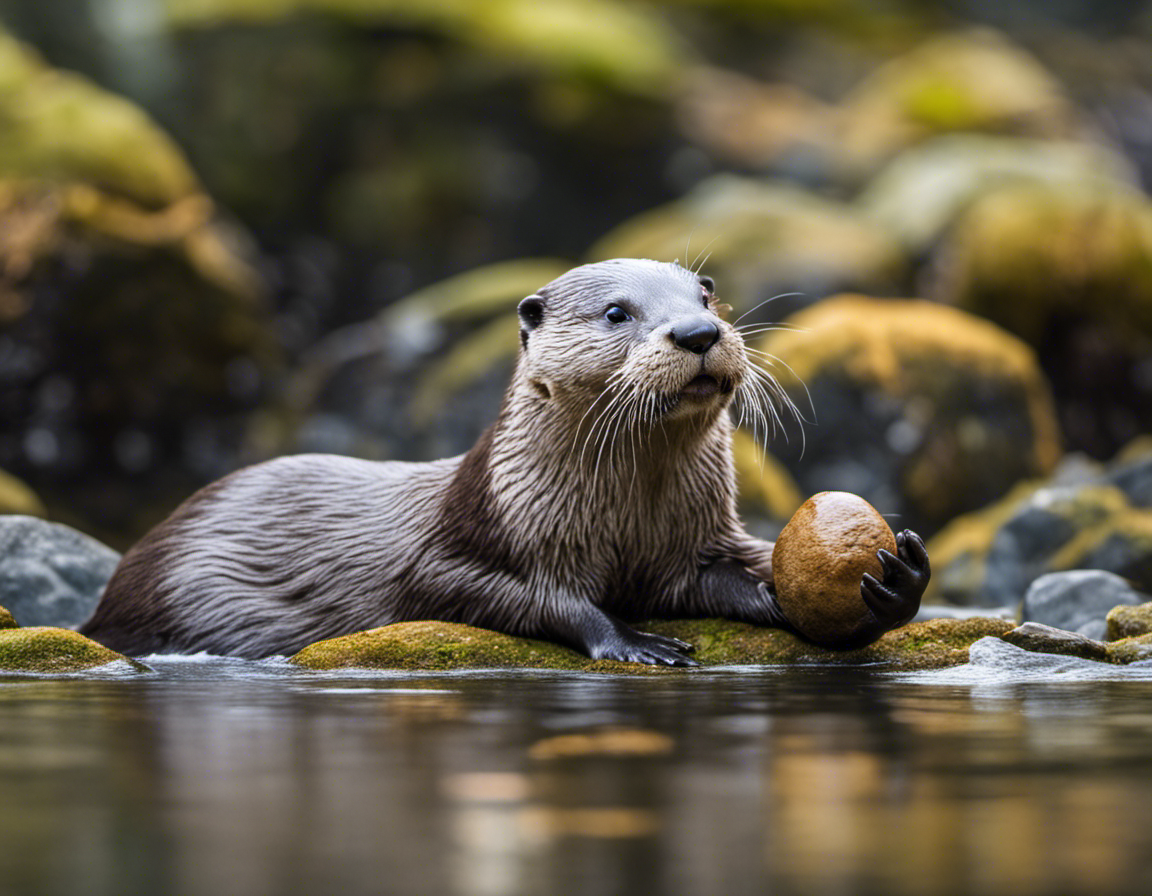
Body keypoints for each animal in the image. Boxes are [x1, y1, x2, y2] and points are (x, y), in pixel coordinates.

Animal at [78, 257, 926, 663]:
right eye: (617, 312)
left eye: (705, 297)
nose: (697, 333)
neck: (622, 520)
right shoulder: (469, 539)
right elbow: (509, 593)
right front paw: (631, 639)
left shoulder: (688, 546)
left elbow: (733, 580)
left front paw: (896, 585)